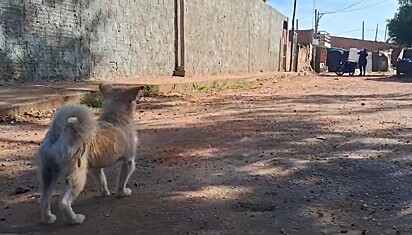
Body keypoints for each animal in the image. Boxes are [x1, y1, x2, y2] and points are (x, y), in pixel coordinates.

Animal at [35, 83, 145, 225]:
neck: (115, 118)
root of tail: (59, 132)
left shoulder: (95, 168)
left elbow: (101, 180)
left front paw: (103, 193)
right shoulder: (129, 162)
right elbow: (122, 181)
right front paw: (123, 193)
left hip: (48, 174)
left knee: (43, 200)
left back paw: (48, 218)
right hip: (77, 176)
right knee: (64, 203)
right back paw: (75, 219)